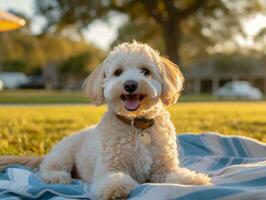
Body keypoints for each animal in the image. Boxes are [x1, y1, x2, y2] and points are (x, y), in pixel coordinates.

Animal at [0, 41, 212, 199]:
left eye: (145, 71)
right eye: (118, 72)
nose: (130, 85)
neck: (137, 125)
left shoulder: (164, 167)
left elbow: (175, 174)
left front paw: (193, 179)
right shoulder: (110, 168)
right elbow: (113, 178)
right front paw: (116, 188)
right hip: (65, 152)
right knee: (47, 168)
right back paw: (57, 177)